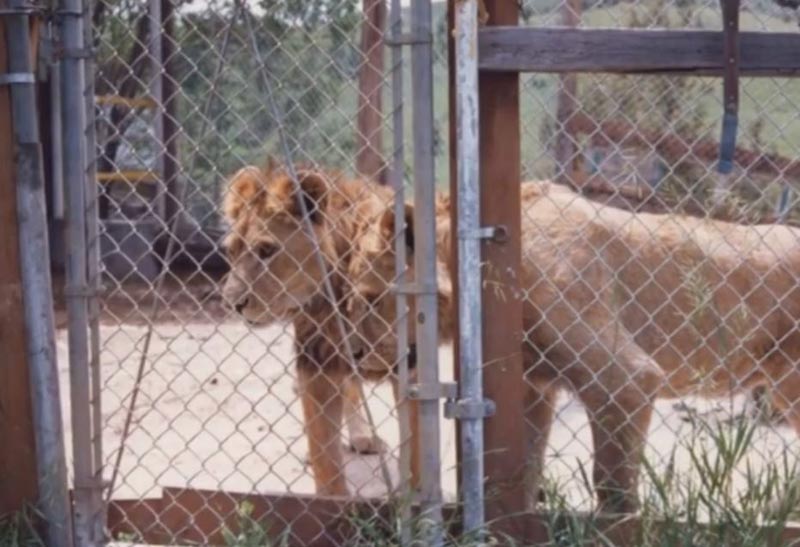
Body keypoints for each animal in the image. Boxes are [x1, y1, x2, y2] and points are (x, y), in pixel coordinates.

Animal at [348, 180, 800, 512]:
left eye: (370, 297)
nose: (353, 354)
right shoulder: (533, 387)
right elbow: (522, 468)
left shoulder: (624, 378)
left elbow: (612, 482)